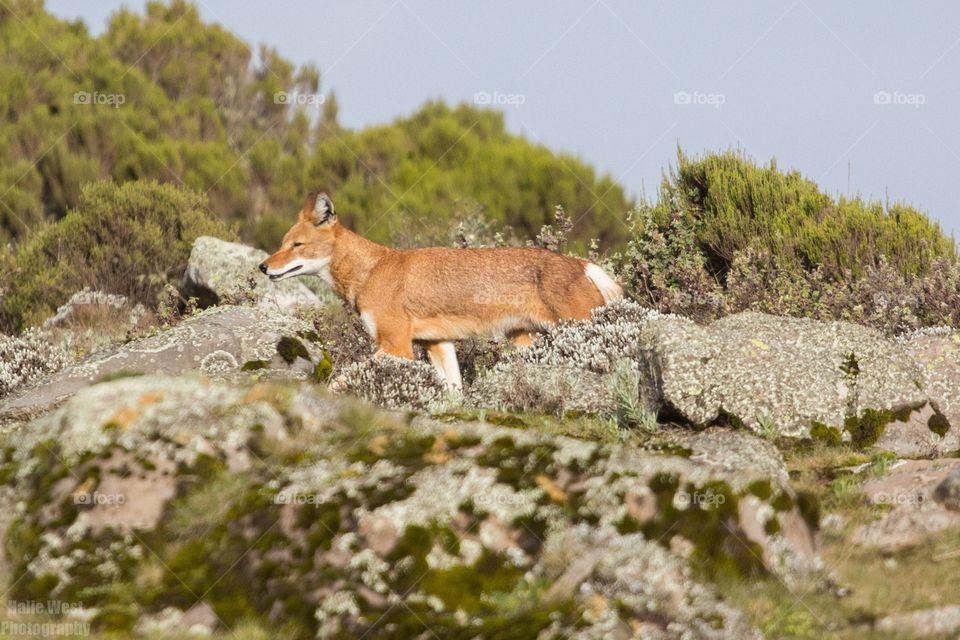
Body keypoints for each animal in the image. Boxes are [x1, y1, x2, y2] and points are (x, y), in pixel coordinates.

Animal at [262, 192, 624, 388]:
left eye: (296, 246)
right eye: (282, 243)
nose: (263, 267)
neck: (371, 271)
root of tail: (581, 264)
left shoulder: (397, 346)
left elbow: (343, 378)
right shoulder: (437, 344)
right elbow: (453, 393)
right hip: (525, 342)